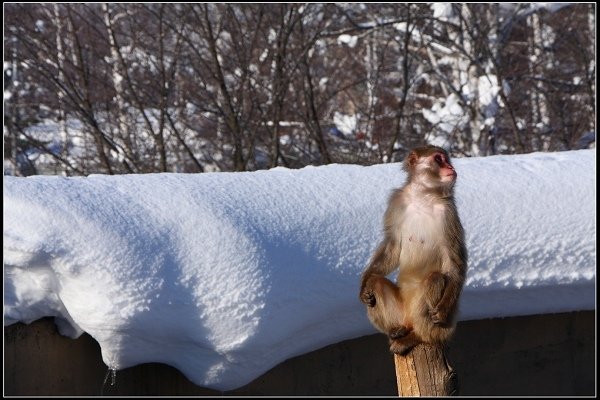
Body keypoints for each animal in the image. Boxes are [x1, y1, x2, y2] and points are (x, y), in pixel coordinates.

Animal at [358, 145, 466, 354]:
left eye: (445, 159)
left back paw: (418, 337)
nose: (450, 167)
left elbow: (454, 263)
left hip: (440, 327)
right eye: (439, 159)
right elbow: (392, 246)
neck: (423, 197)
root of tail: (409, 321)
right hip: (400, 312)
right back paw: (396, 331)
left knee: (435, 279)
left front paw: (442, 310)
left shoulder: (449, 213)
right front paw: (363, 286)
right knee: (376, 283)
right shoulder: (397, 202)